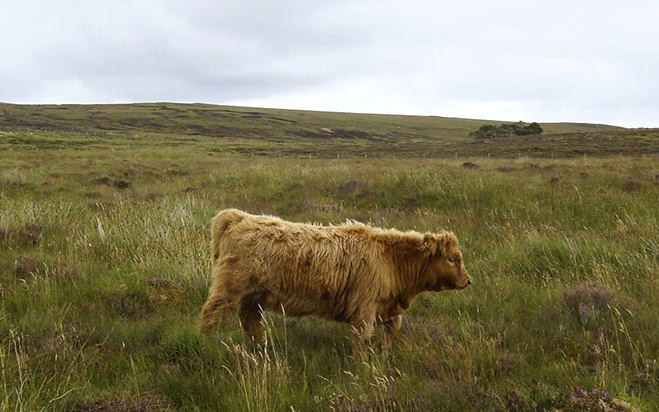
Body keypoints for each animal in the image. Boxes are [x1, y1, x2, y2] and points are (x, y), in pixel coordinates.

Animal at [199, 209, 472, 350]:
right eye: (452, 258)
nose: (468, 281)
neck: (391, 260)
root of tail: (239, 216)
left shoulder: (386, 306)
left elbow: (394, 328)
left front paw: (383, 352)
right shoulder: (365, 307)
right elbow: (362, 338)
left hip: (253, 297)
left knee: (251, 323)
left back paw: (262, 349)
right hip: (230, 288)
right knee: (211, 315)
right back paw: (205, 345)